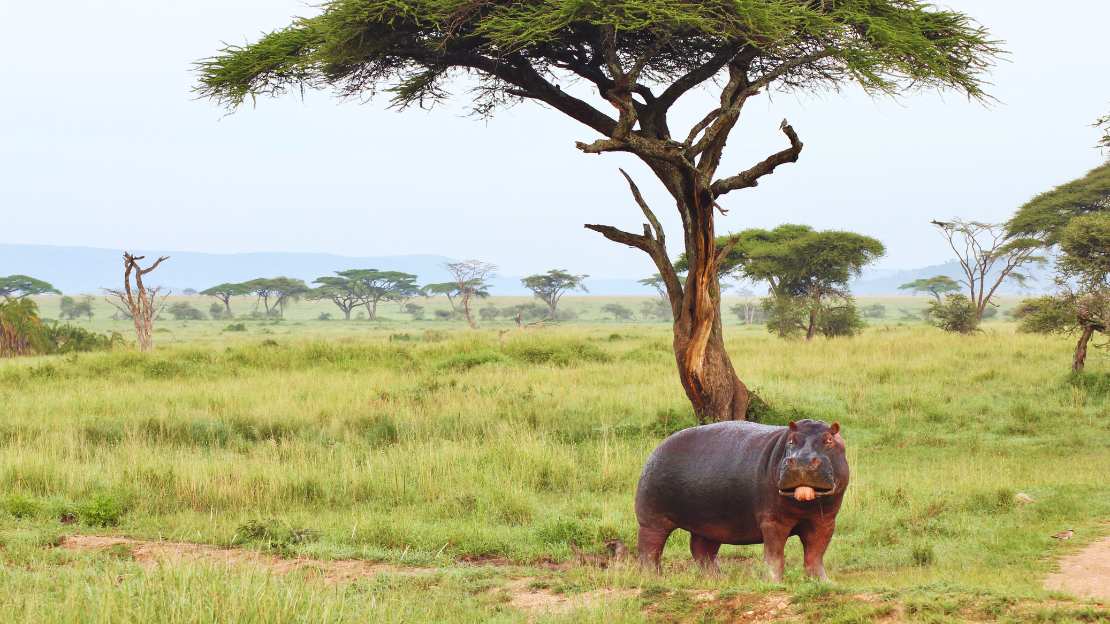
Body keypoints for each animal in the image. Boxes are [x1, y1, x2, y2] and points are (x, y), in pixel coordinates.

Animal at [634, 419, 848, 581]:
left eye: (829, 440)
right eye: (791, 441)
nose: (802, 461)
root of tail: (658, 447)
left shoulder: (825, 521)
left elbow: (815, 554)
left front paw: (824, 582)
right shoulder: (772, 521)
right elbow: (774, 553)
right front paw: (774, 582)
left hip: (710, 524)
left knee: (702, 550)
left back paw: (718, 578)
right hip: (652, 519)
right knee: (650, 549)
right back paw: (654, 577)